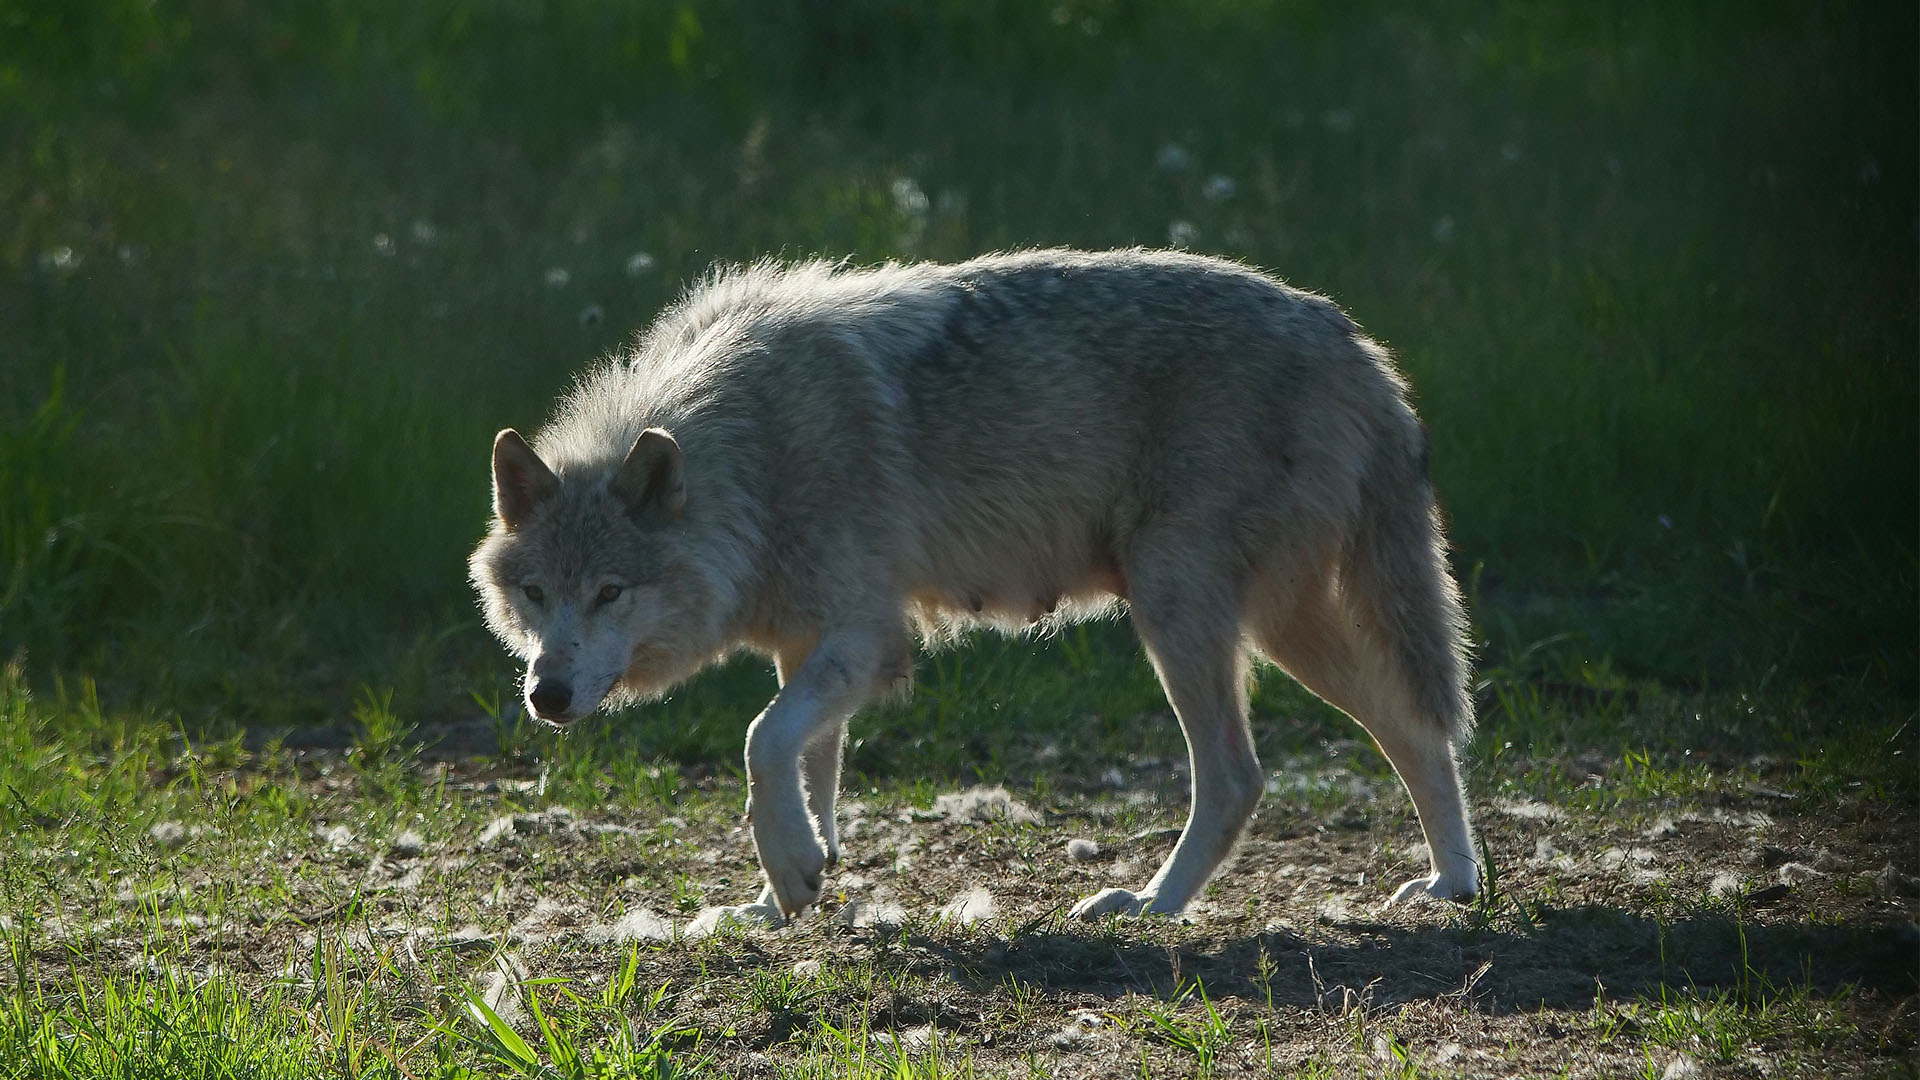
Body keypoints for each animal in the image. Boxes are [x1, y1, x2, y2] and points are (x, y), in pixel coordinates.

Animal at [468, 247, 1482, 922]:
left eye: (610, 592)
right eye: (538, 595)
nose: (547, 694)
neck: (752, 453)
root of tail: (1356, 344)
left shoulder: (870, 641)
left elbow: (762, 742)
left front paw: (793, 871)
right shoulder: (810, 645)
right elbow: (808, 764)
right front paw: (786, 888)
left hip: (1181, 612)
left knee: (1238, 777)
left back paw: (1150, 906)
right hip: (1278, 624)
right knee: (1415, 730)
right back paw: (1453, 885)